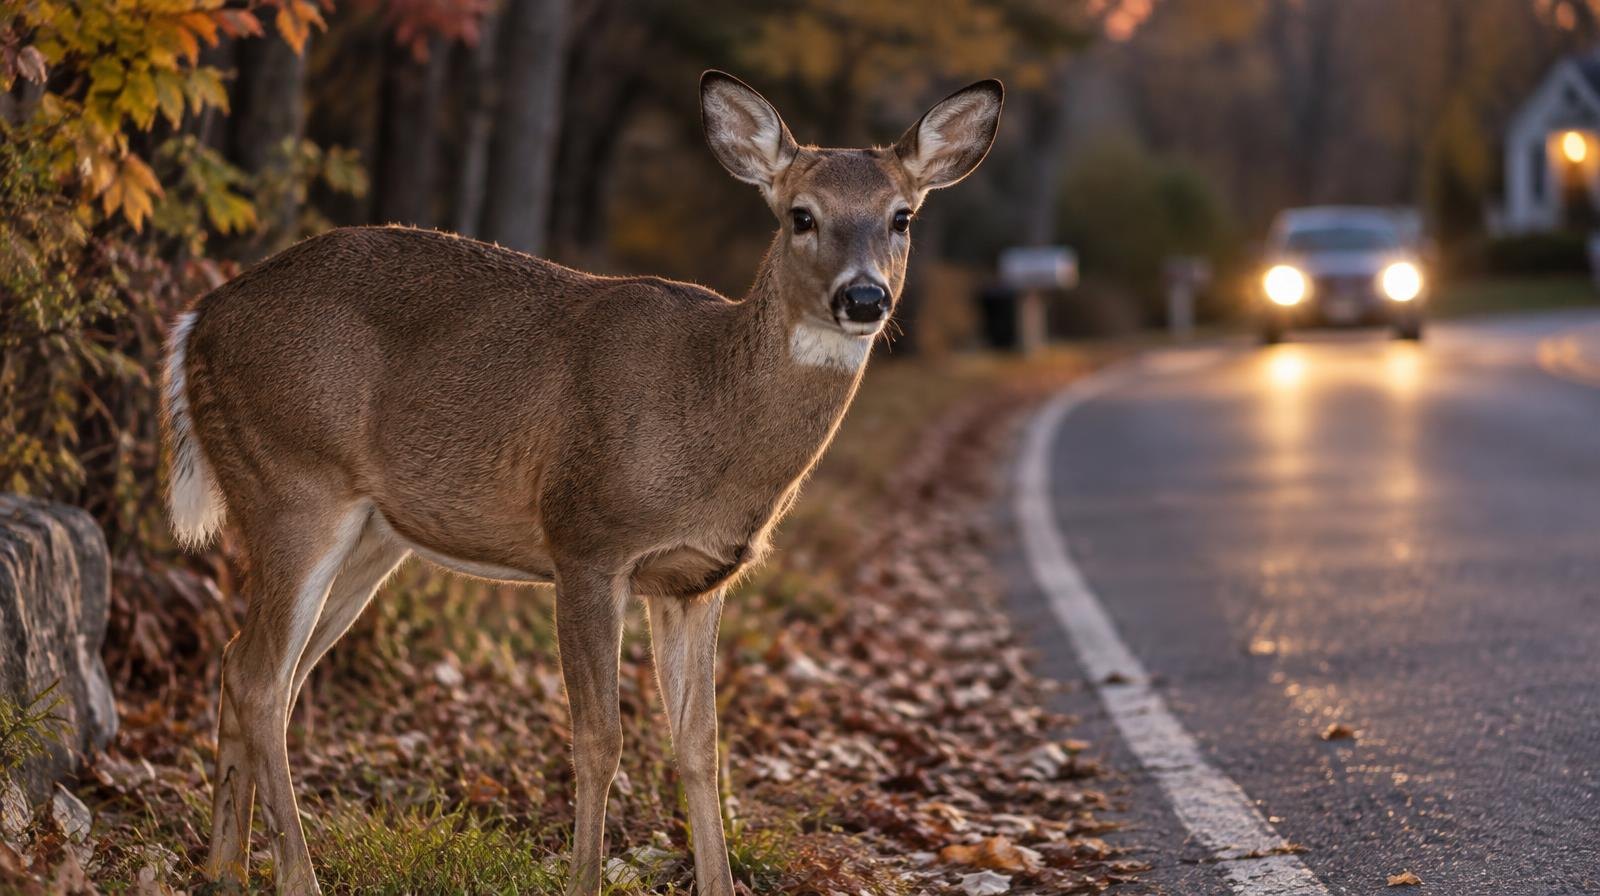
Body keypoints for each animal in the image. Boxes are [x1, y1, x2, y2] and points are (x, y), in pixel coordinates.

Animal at [161, 70, 1002, 895]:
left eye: (901, 217)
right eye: (802, 215)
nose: (864, 297)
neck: (709, 411)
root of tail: (197, 321)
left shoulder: (697, 580)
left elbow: (700, 743)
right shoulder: (588, 538)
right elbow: (600, 737)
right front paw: (584, 878)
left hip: (370, 535)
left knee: (254, 669)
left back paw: (224, 870)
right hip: (291, 479)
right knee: (259, 676)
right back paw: (292, 876)